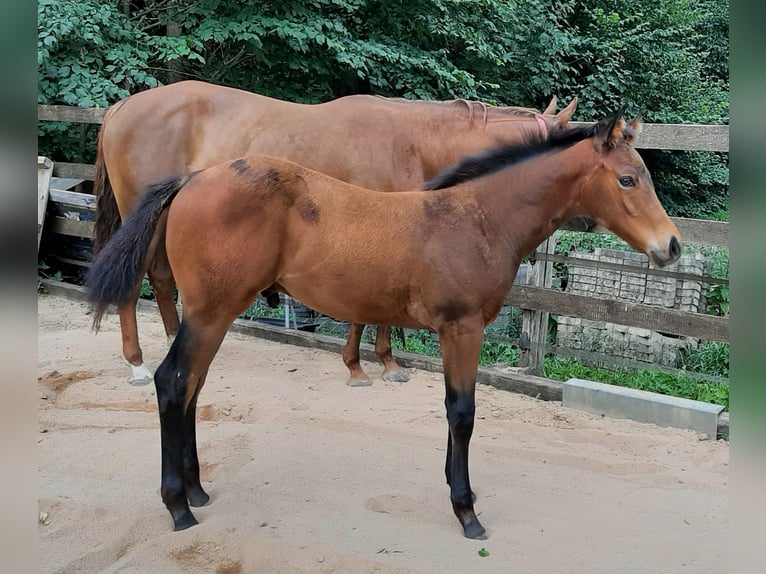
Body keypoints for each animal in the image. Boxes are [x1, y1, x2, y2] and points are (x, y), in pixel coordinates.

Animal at [93, 80, 578, 386]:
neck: (414, 144)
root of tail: (122, 107)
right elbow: (363, 309)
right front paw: (357, 367)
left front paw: (386, 362)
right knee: (133, 282)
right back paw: (137, 365)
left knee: (161, 278)